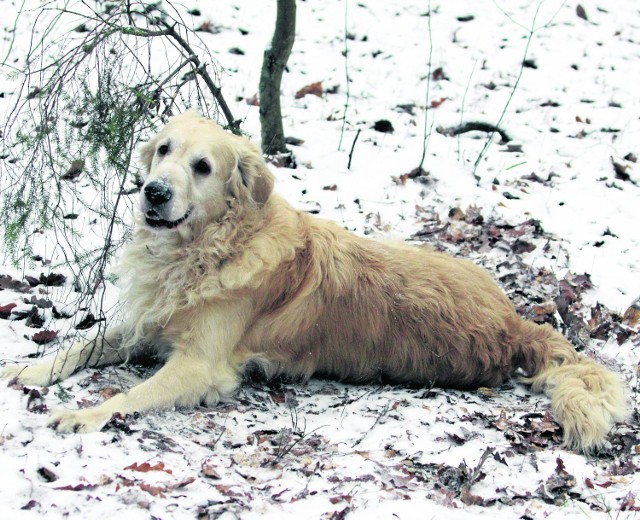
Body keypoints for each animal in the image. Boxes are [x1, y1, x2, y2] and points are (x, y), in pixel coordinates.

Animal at [0, 112, 628, 450]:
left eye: (202, 167)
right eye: (163, 151)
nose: (153, 192)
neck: (211, 247)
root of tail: (515, 324)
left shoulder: (200, 364)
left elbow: (129, 395)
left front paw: (83, 415)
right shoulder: (149, 322)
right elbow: (81, 344)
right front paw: (26, 368)